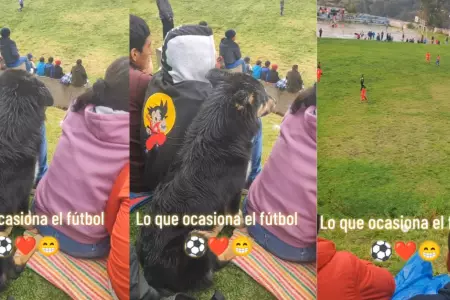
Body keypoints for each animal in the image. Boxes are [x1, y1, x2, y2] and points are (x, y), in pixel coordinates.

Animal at [138, 69, 274, 292]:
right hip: (191, 242)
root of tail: (151, 274)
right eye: (264, 96)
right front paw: (241, 222)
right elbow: (234, 213)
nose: (276, 100)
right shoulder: (233, 191)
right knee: (215, 263)